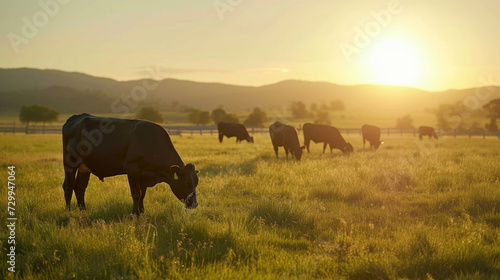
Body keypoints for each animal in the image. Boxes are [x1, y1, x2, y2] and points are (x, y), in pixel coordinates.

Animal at [63, 112, 200, 215]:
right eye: (186, 182)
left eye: (196, 183)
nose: (194, 204)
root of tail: (77, 117)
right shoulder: (132, 169)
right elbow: (136, 194)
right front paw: (135, 214)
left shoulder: (144, 175)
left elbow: (142, 195)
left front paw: (142, 212)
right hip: (70, 163)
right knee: (68, 186)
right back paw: (68, 211)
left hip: (84, 168)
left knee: (80, 188)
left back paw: (83, 211)